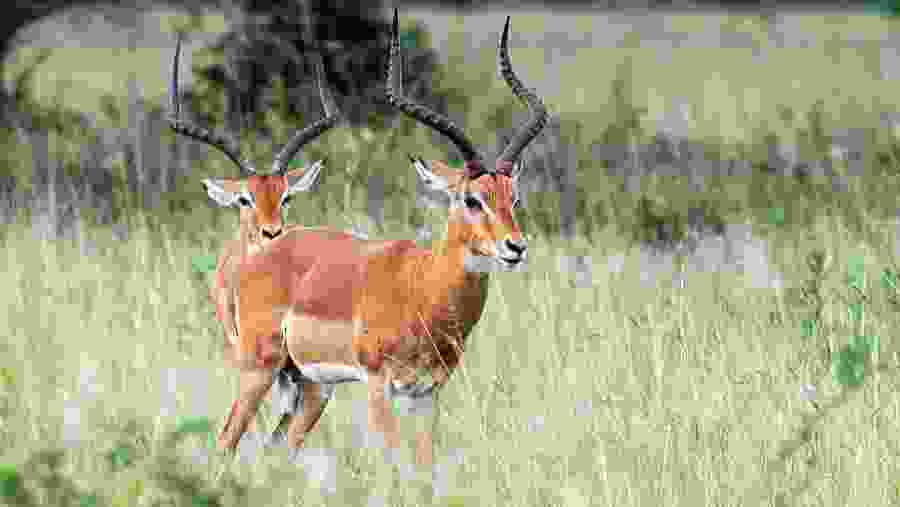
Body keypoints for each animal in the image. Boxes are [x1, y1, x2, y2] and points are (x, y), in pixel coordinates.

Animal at [217, 9, 547, 468]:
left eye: (512, 198)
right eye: (471, 199)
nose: (515, 247)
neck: (423, 287)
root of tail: (262, 254)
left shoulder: (426, 393)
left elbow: (424, 461)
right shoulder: (378, 384)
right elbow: (393, 458)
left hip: (310, 386)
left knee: (280, 447)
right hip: (258, 368)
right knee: (226, 438)